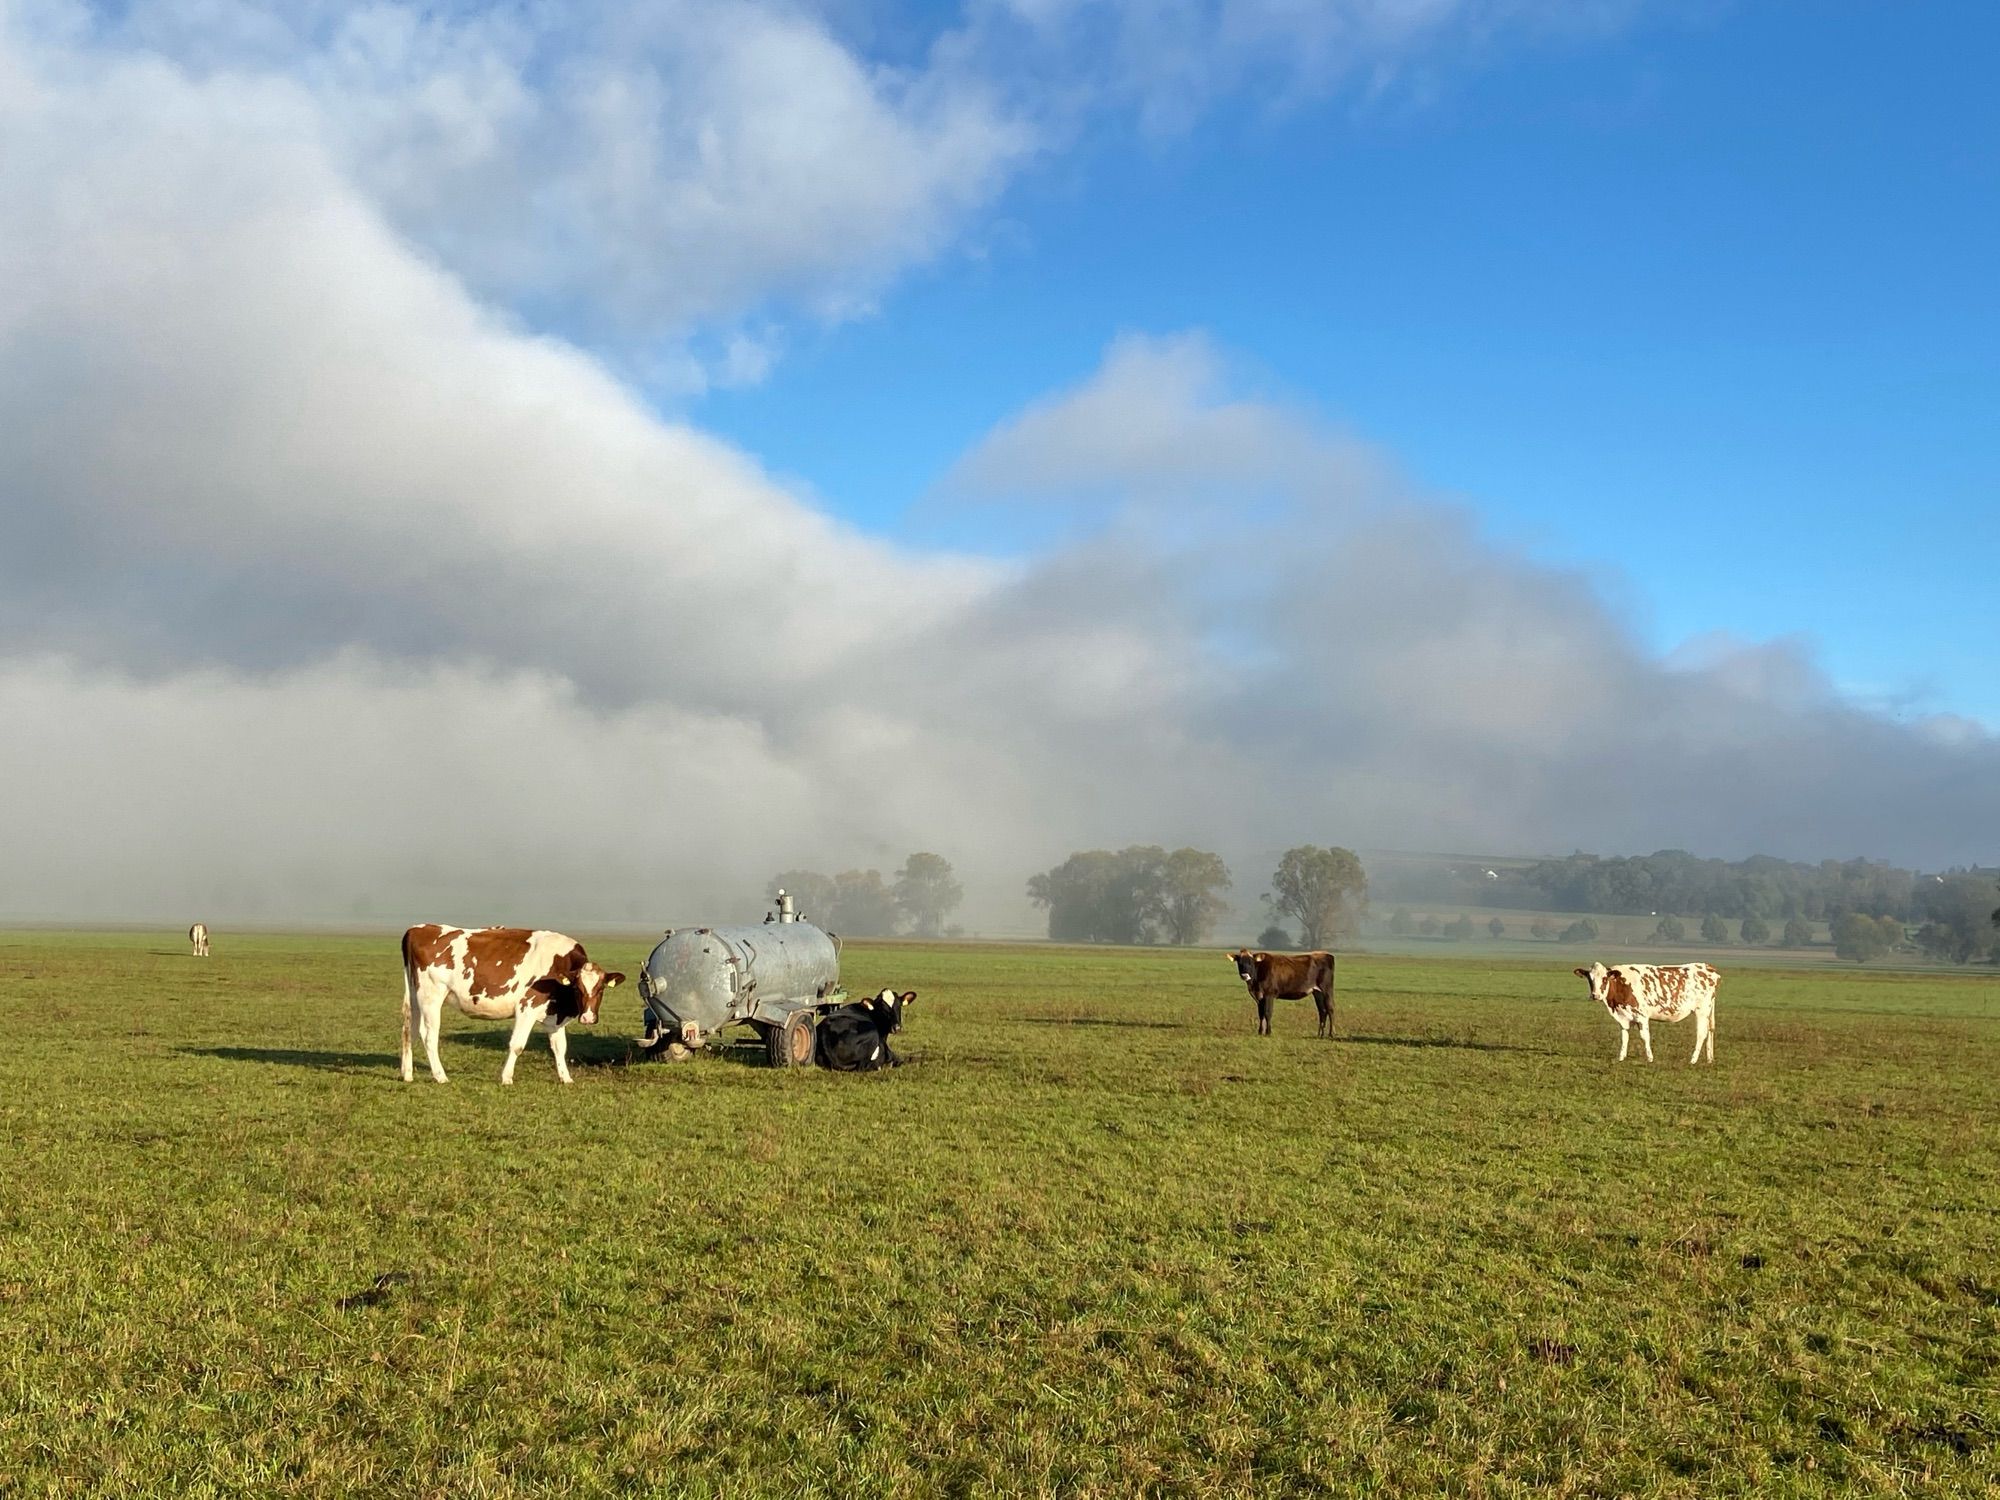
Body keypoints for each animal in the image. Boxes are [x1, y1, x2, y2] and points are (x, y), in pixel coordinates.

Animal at [400, 924, 624, 1088]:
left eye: (601, 988)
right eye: (577, 988)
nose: (588, 1018)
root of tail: (418, 929)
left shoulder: (554, 1017)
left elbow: (560, 1048)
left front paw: (566, 1078)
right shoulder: (527, 1008)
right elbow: (517, 1045)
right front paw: (506, 1077)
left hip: (415, 996)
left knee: (409, 1030)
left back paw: (407, 1073)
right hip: (431, 996)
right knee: (429, 1036)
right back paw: (440, 1076)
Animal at [1576, 964, 1720, 1072]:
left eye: (1605, 978)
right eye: (1590, 978)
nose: (1595, 995)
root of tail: (1707, 967)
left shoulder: (1642, 1016)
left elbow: (1645, 1037)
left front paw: (1650, 1058)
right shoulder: (1623, 1018)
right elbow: (1624, 1037)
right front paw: (1621, 1057)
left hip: (1701, 1011)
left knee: (1701, 1034)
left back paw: (1693, 1060)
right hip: (1707, 1011)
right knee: (1710, 1031)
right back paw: (1709, 1058)